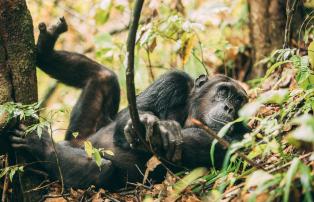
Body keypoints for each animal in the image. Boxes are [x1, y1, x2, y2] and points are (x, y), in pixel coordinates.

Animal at [9, 18, 249, 190]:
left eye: (239, 100)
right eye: (224, 91)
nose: (229, 107)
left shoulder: (243, 136)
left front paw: (164, 131)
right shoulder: (173, 81)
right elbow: (133, 113)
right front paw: (147, 123)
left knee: (101, 169)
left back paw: (41, 144)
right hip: (80, 136)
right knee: (104, 77)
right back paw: (46, 48)